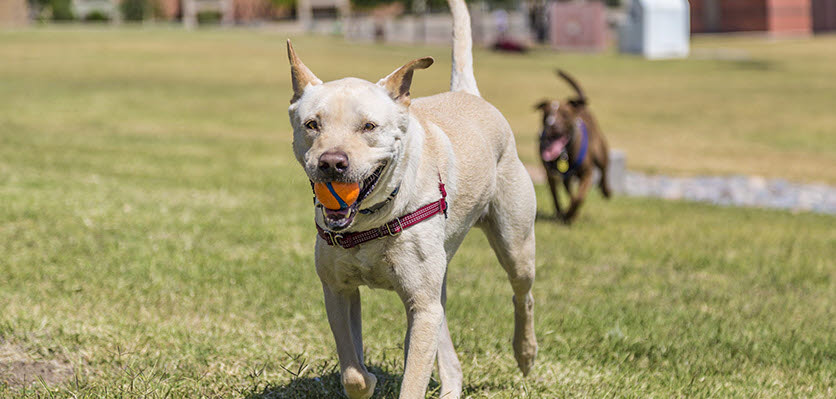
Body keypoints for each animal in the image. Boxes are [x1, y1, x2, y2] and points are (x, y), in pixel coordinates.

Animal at [286, 0, 536, 396]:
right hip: (438, 280)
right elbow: (352, 371)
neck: (374, 218)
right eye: (312, 124)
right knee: (447, 343)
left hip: (516, 242)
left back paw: (525, 354)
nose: (332, 163)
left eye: (369, 126)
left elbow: (414, 376)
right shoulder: (338, 290)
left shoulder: (421, 304)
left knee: (522, 293)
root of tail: (470, 94)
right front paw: (367, 379)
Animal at [540, 70, 612, 223]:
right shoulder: (551, 175)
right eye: (546, 115)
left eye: (564, 114)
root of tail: (580, 107)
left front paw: (570, 215)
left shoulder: (587, 173)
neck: (564, 153)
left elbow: (578, 198)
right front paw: (565, 214)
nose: (552, 124)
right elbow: (558, 197)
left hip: (601, 153)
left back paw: (606, 190)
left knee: (604, 171)